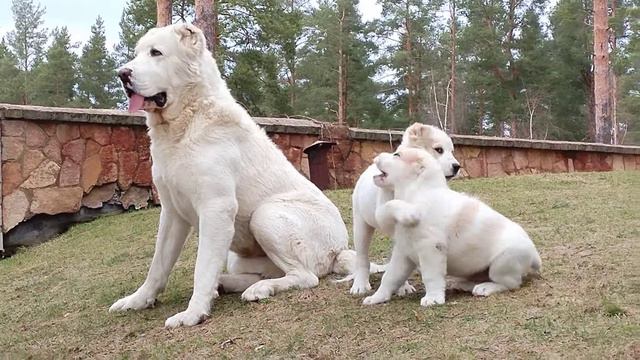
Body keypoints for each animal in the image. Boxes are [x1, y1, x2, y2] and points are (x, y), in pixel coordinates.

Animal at [108, 22, 378, 326]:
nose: (122, 74)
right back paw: (229, 284)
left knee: (305, 276)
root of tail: (339, 249)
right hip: (236, 254)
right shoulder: (172, 213)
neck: (186, 123)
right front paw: (139, 300)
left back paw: (258, 289)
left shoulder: (216, 209)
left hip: (266, 215)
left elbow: (202, 268)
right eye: (137, 54)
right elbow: (158, 265)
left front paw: (193, 313)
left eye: (156, 53)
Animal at [348, 122, 462, 294]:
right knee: (362, 257)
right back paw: (360, 285)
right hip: (361, 225)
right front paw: (402, 286)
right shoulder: (383, 213)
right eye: (439, 150)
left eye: (452, 151)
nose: (457, 166)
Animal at [362, 147, 544, 306]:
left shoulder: (431, 249)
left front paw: (433, 298)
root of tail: (535, 256)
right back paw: (464, 285)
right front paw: (378, 297)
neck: (418, 192)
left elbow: (430, 276)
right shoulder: (403, 253)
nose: (375, 157)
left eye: (396, 155)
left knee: (511, 283)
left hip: (502, 263)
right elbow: (390, 277)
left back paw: (485, 288)